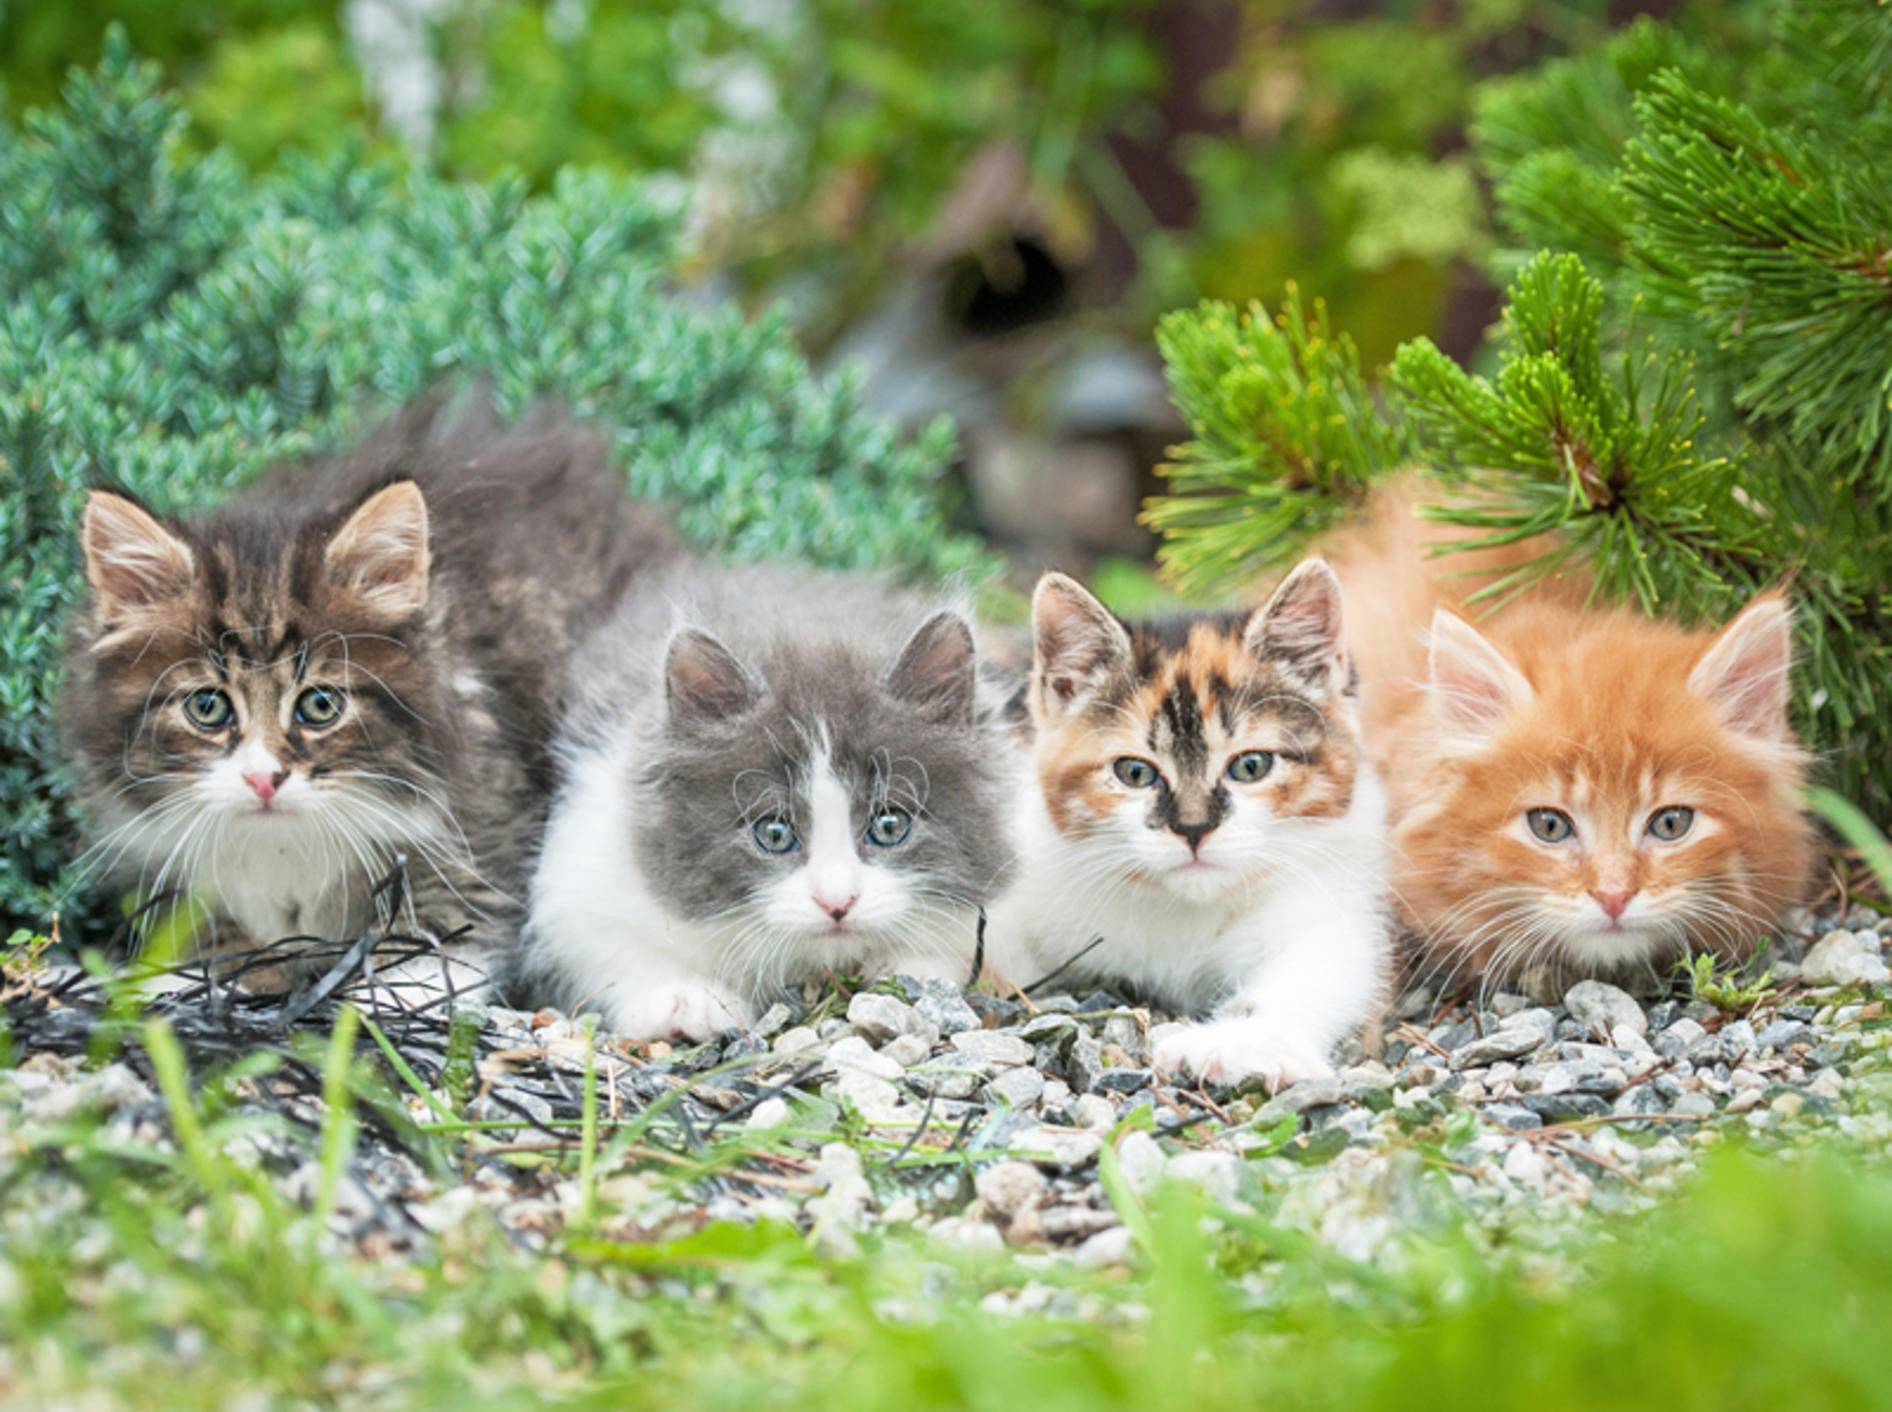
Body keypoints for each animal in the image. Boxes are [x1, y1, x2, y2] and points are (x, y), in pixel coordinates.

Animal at [518, 556, 1021, 1037]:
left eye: (890, 825)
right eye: (774, 833)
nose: (837, 903)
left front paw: (912, 963)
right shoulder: (583, 860)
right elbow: (606, 943)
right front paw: (684, 998)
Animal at [991, 560, 1392, 1090]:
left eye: (1251, 766)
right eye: (1134, 773)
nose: (1194, 827)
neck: (1185, 911)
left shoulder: (1329, 903)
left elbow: (1319, 971)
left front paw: (1242, 1043)